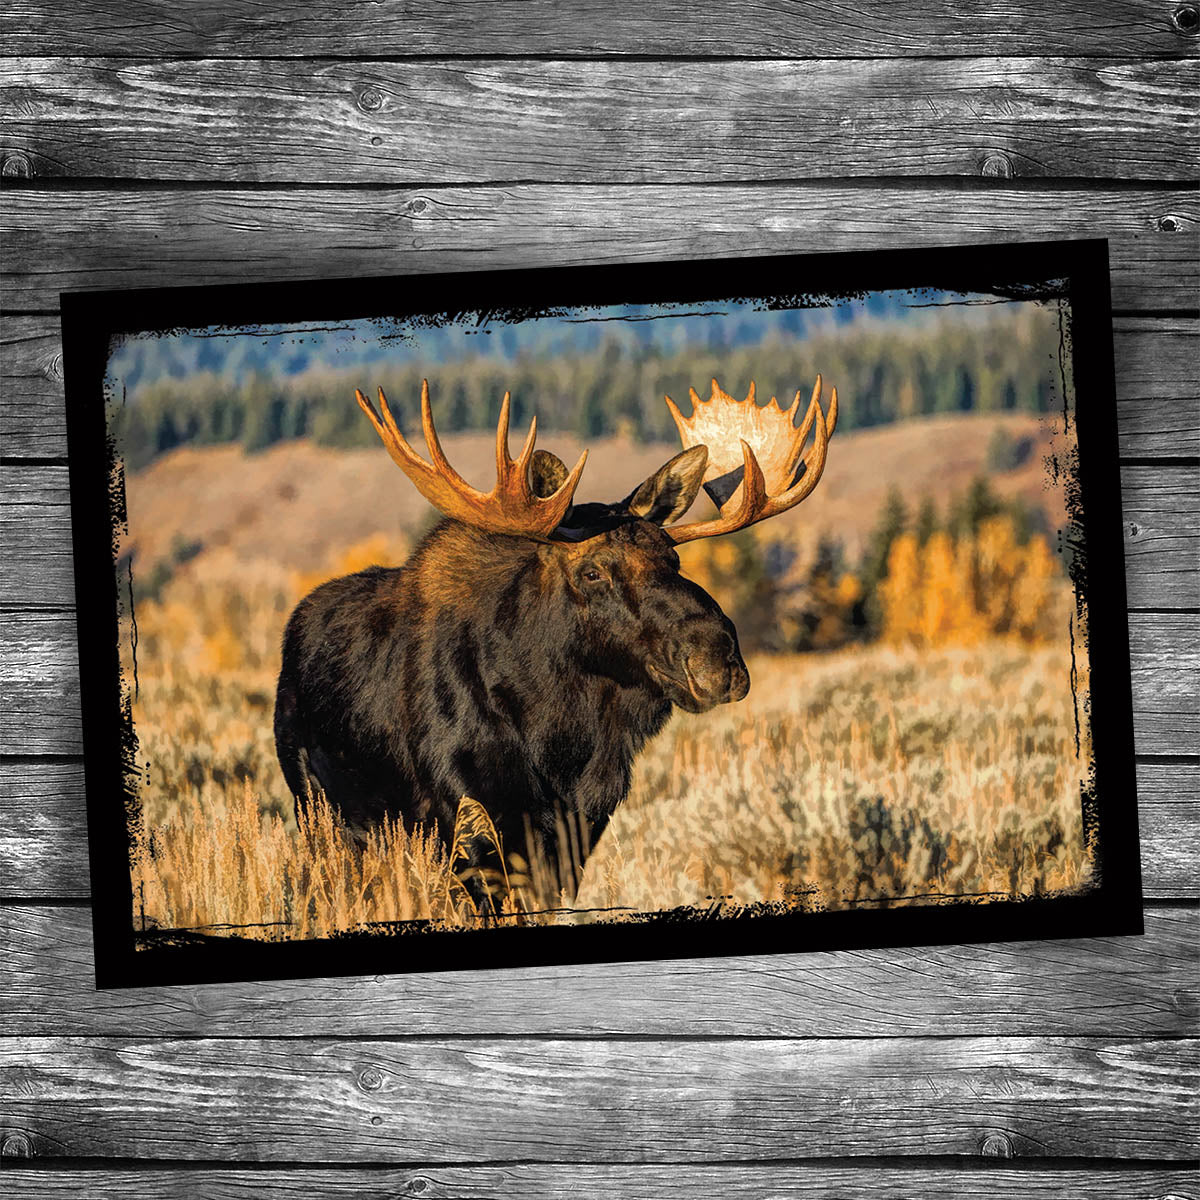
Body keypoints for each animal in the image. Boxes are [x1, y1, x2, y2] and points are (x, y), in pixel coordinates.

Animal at [273, 375, 837, 909]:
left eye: (673, 558)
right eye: (591, 572)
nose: (717, 660)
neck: (562, 735)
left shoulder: (580, 828)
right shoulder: (469, 822)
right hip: (320, 814)